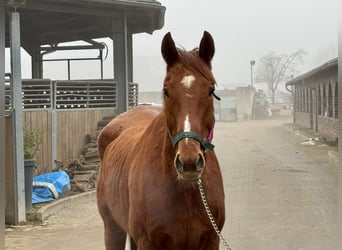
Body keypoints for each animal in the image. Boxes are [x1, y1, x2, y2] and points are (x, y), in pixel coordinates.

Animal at [96, 31, 224, 250]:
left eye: (210, 90)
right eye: (166, 90)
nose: (189, 162)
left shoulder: (211, 241)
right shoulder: (149, 242)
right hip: (113, 229)